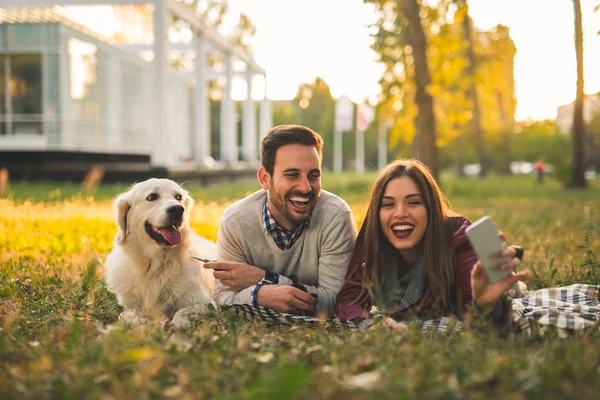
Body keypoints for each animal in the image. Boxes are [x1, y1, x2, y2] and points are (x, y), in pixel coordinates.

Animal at [104, 178, 217, 328]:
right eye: (152, 197)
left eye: (178, 197)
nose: (178, 209)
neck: (156, 266)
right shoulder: (130, 305)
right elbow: (124, 315)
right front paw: (140, 321)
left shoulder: (206, 302)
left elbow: (182, 312)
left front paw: (178, 323)